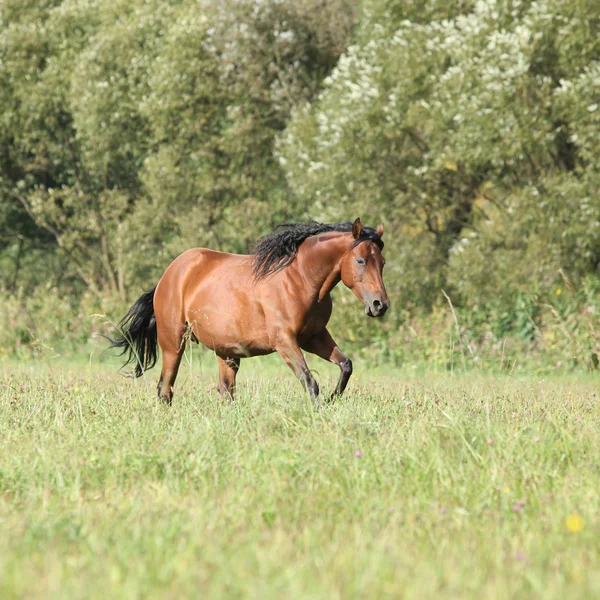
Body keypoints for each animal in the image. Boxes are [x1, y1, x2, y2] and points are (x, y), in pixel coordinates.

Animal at [111, 218, 390, 406]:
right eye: (361, 260)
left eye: (382, 263)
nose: (380, 305)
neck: (301, 279)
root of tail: (169, 274)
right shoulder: (285, 341)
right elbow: (310, 381)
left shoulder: (315, 337)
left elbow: (346, 366)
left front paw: (333, 400)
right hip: (173, 342)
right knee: (165, 388)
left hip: (226, 352)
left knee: (225, 391)